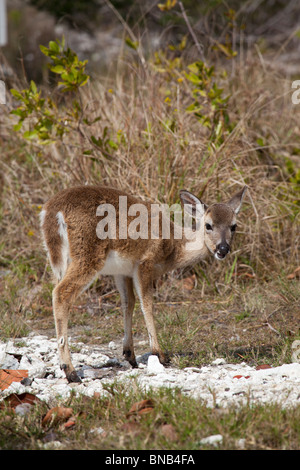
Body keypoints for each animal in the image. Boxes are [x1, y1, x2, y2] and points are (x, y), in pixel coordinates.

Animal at [39, 184, 246, 382]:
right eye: (209, 225)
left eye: (234, 226)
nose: (223, 248)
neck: (173, 248)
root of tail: (53, 210)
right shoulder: (145, 262)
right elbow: (147, 304)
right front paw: (159, 354)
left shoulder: (122, 271)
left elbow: (128, 303)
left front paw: (130, 355)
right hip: (87, 255)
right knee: (61, 293)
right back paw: (70, 371)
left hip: (59, 260)